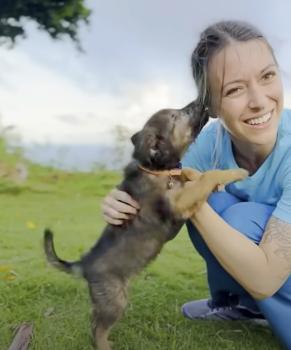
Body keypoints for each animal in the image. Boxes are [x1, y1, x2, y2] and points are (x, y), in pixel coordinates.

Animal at [44, 100, 249, 348]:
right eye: (175, 116)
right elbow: (207, 176)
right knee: (97, 329)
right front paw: (234, 173)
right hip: (115, 300)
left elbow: (193, 172)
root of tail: (84, 264)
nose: (201, 102)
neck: (158, 170)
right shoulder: (177, 205)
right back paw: (105, 345)